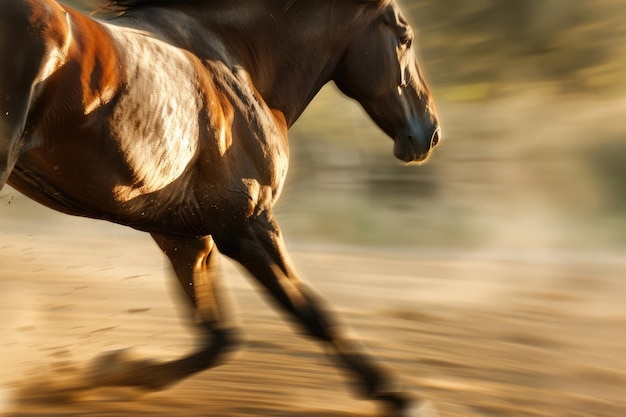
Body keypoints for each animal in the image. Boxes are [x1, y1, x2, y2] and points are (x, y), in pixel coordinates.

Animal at [0, 0, 438, 412]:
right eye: (405, 36)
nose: (429, 132)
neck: (234, 66)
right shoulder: (247, 226)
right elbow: (311, 314)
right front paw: (401, 398)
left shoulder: (183, 237)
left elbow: (218, 338)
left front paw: (113, 372)